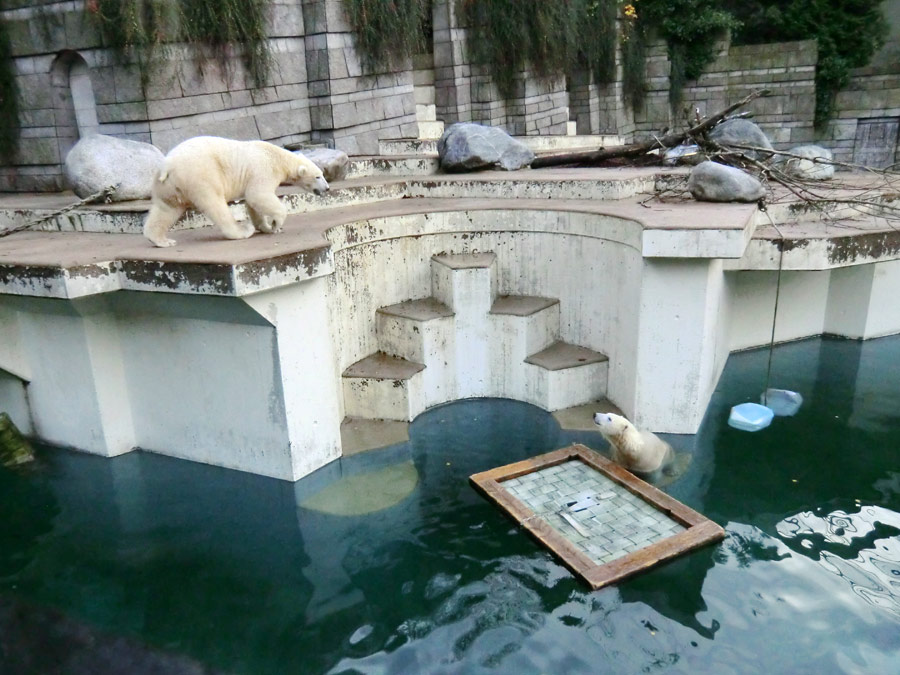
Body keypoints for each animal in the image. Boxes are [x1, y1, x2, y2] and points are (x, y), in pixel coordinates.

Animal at [144, 136, 330, 247]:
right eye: (318, 176)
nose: (327, 188)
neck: (278, 157)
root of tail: (167, 165)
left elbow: (253, 204)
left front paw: (265, 227)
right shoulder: (263, 169)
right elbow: (258, 195)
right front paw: (276, 224)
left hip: (168, 185)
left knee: (167, 208)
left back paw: (162, 240)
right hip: (200, 175)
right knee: (215, 203)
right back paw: (242, 231)